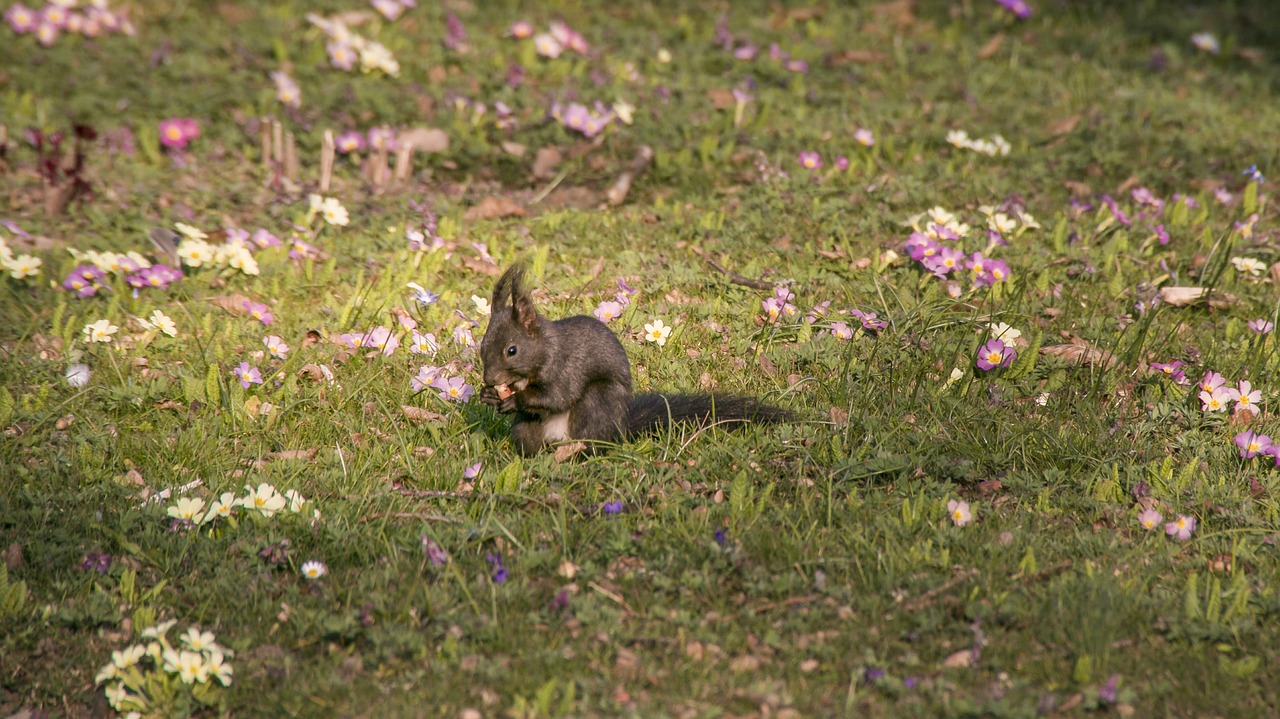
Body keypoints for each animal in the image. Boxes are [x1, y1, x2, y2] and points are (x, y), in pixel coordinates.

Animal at [481, 263, 793, 452]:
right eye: (483, 345)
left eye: (512, 350)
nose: (490, 379)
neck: (544, 350)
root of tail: (621, 430)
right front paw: (490, 396)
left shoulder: (566, 366)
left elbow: (557, 396)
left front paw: (514, 399)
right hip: (527, 430)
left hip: (599, 404)